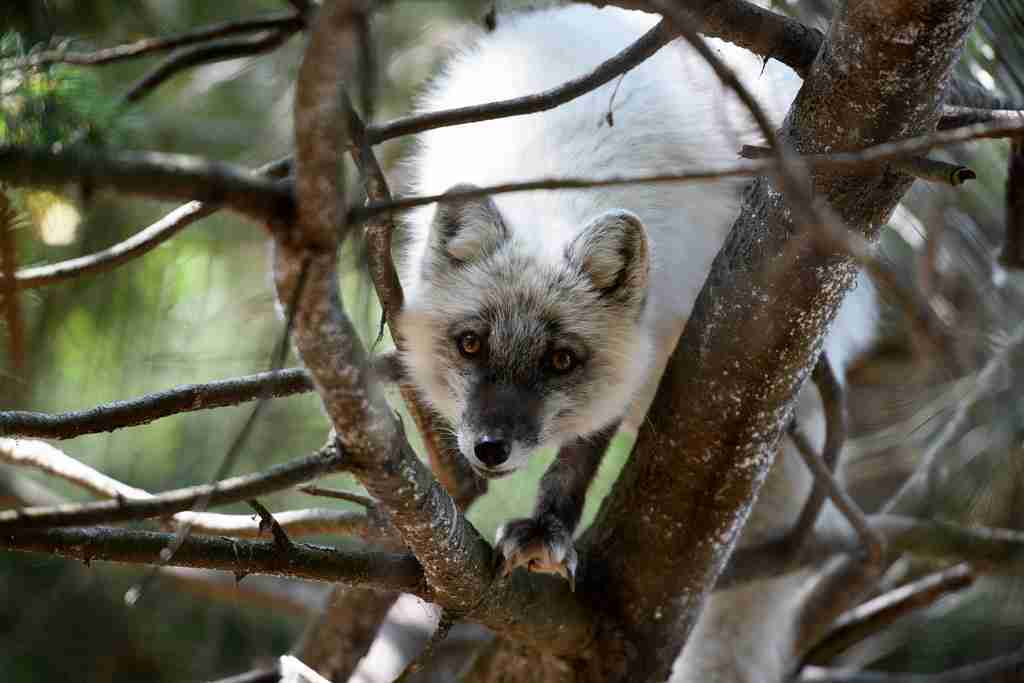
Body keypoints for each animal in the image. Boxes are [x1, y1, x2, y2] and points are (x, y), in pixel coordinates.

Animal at [395, 2, 876, 585]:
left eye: (561, 360)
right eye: (470, 344)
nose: (490, 449)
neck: (549, 185)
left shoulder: (652, 329)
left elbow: (584, 449)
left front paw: (548, 528)